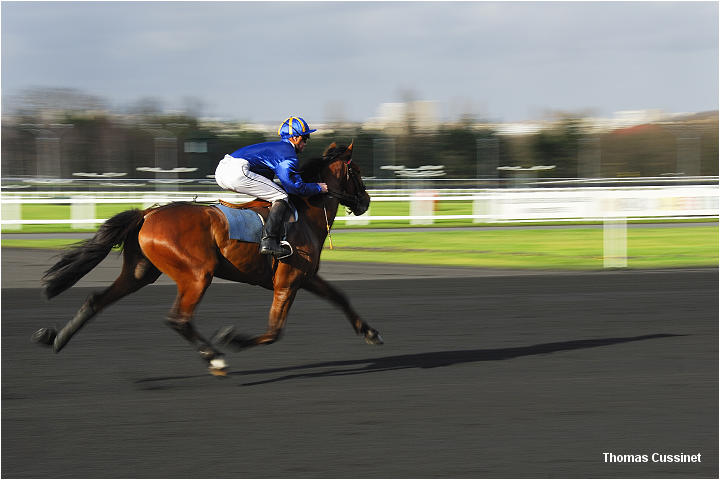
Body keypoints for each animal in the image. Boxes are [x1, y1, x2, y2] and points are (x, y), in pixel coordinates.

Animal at [31, 142, 382, 376]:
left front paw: (370, 332)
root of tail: (147, 214)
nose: (365, 201)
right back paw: (214, 357)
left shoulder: (304, 277)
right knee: (179, 318)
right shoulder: (288, 280)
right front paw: (232, 338)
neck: (304, 213)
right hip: (197, 274)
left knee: (96, 300)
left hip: (141, 272)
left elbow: (340, 297)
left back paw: (58, 338)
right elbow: (274, 331)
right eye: (355, 171)